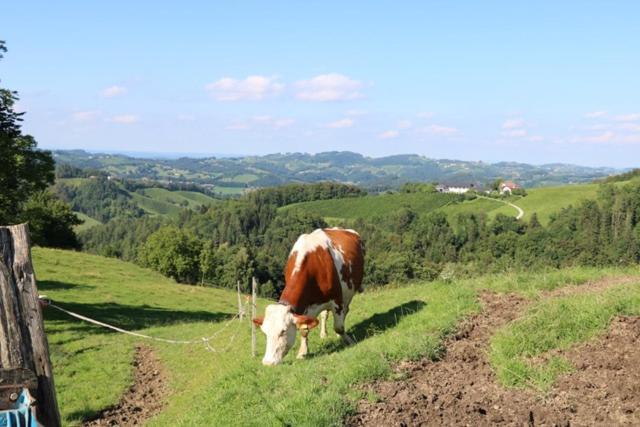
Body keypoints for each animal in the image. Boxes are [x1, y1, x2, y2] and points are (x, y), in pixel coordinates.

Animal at [255, 229, 364, 366]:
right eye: (265, 333)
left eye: (283, 331)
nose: (267, 362)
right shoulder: (304, 307)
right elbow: (303, 330)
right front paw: (302, 352)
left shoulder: (337, 299)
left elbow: (339, 327)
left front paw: (349, 340)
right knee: (324, 315)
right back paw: (323, 334)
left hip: (349, 293)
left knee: (345, 312)